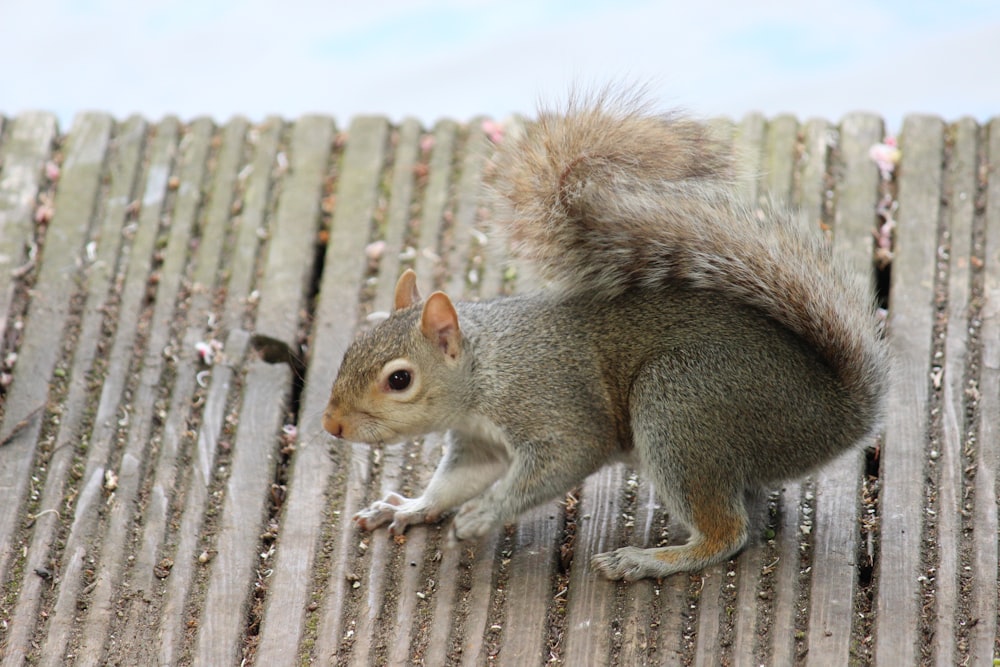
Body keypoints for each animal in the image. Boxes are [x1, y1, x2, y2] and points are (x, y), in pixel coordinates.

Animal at [322, 90, 892, 580]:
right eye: (348, 350)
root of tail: (837, 413)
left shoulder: (552, 406)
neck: (486, 368)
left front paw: (483, 513)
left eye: (399, 380)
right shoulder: (479, 443)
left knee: (728, 533)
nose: (331, 425)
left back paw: (647, 560)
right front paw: (414, 506)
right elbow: (455, 481)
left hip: (681, 405)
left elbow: (565, 458)